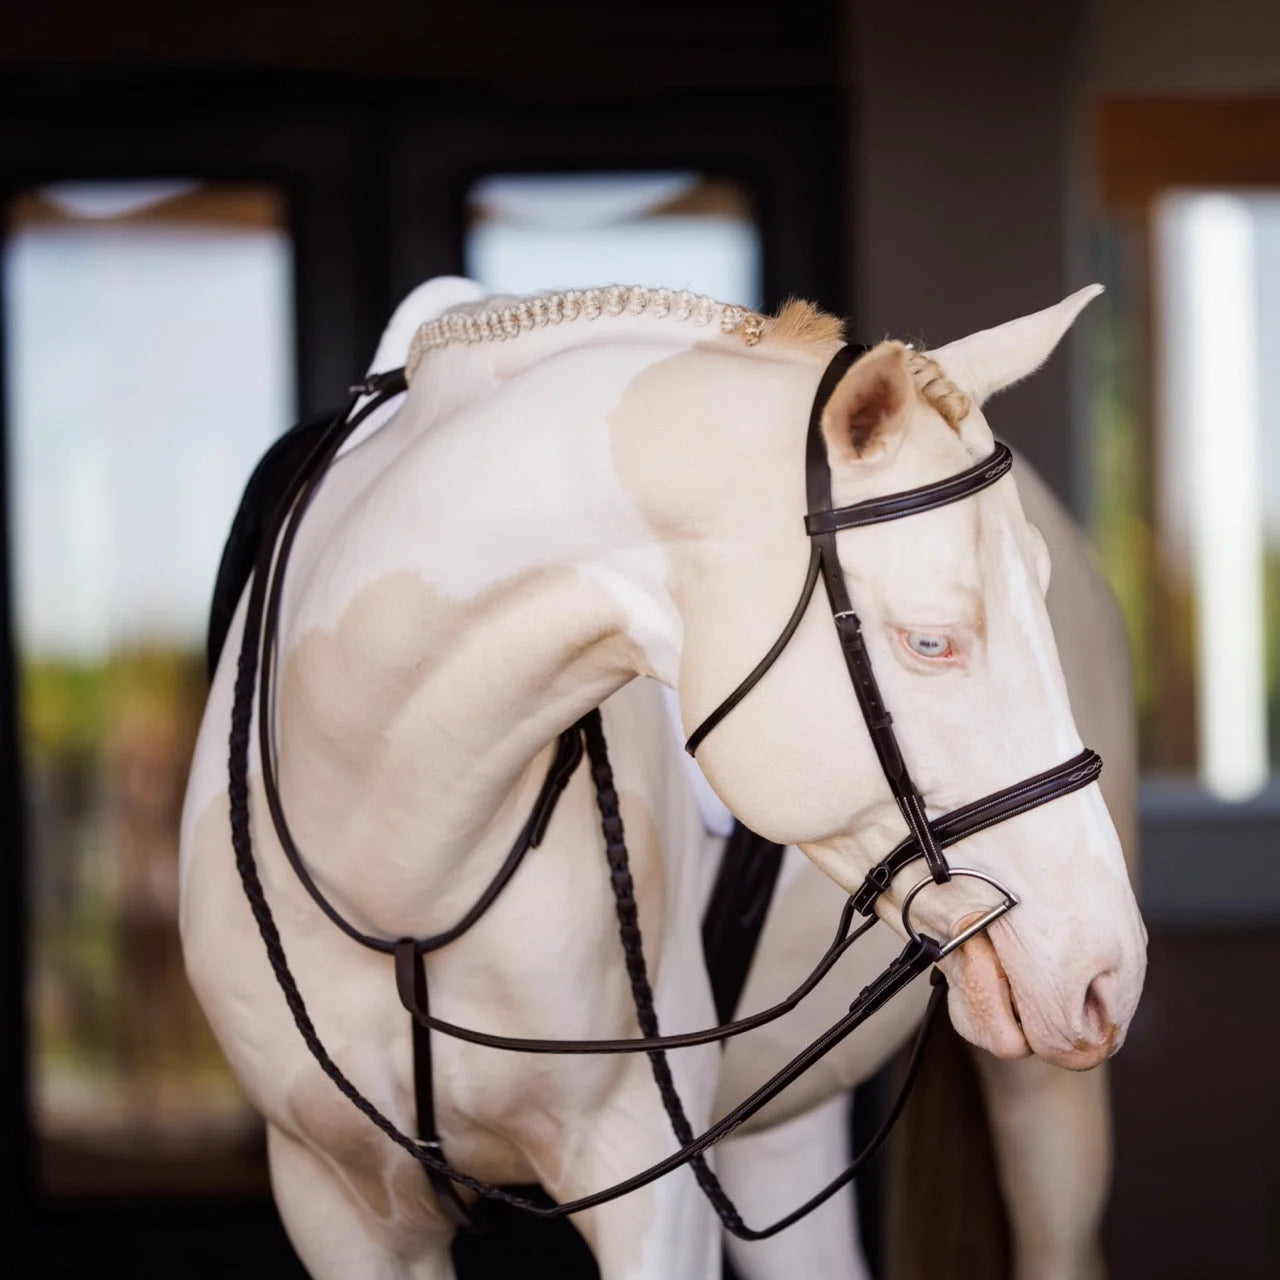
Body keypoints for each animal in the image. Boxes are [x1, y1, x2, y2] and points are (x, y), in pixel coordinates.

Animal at [180, 276, 1147, 1279]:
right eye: (929, 643)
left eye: (1038, 602)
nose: (1106, 972)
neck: (399, 857)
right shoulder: (336, 1207)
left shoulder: (653, 1186)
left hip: (1045, 1117)